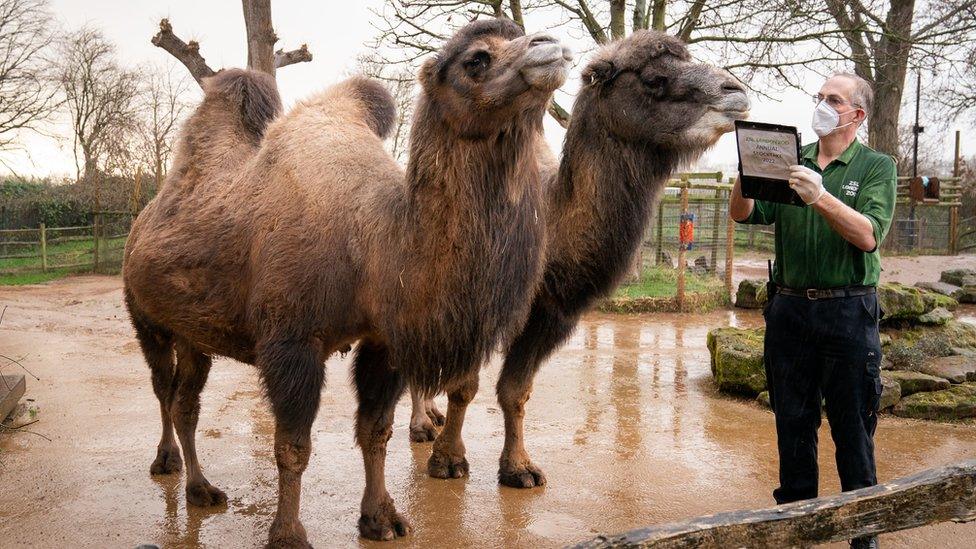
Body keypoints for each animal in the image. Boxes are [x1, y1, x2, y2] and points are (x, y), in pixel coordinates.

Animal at [124, 18, 572, 548]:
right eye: (476, 59)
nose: (551, 46)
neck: (374, 242)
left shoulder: (384, 341)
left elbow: (376, 431)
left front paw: (381, 518)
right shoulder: (291, 341)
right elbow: (292, 446)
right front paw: (289, 535)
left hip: (196, 334)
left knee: (185, 402)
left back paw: (201, 489)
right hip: (146, 317)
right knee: (162, 389)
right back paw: (168, 464)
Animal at [408, 28, 752, 488]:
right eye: (654, 78)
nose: (735, 91)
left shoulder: (551, 314)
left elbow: (515, 392)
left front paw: (519, 468)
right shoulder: (474, 302)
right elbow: (464, 386)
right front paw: (448, 460)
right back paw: (421, 425)